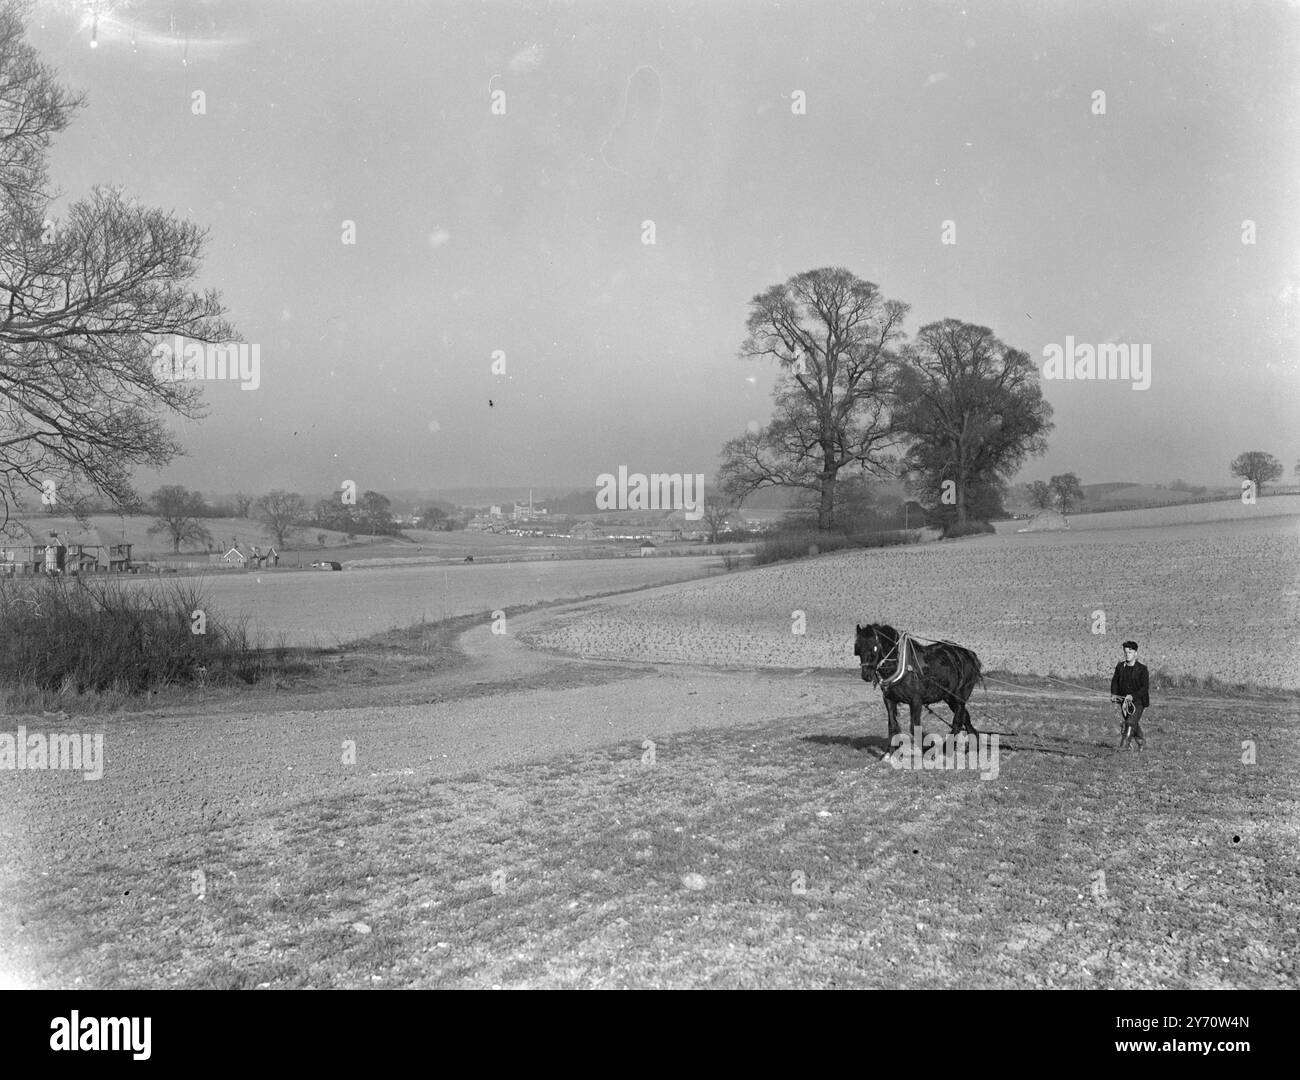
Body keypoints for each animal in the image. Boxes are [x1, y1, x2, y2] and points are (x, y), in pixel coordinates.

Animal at [852, 623, 982, 743]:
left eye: (874, 648)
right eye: (858, 649)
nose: (866, 675)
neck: (903, 666)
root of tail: (969, 654)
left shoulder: (916, 701)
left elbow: (914, 728)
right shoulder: (889, 700)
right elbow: (892, 727)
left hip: (960, 696)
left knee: (957, 722)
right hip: (950, 697)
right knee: (966, 719)